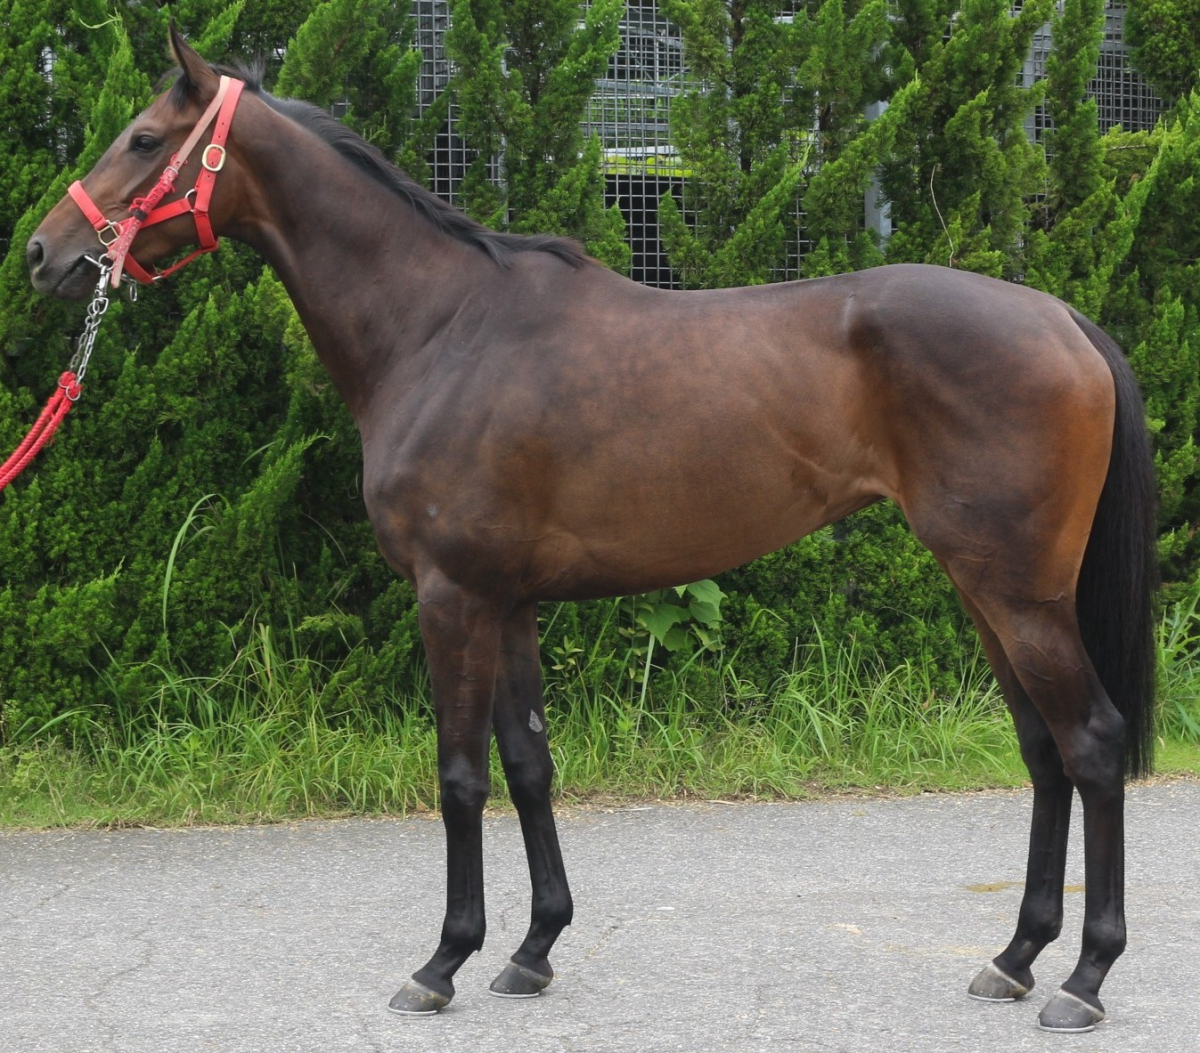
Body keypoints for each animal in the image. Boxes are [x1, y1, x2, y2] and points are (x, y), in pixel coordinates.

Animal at [26, 28, 1158, 1034]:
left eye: (140, 138)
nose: (44, 253)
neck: (441, 329)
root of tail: (1063, 319)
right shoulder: (511, 601)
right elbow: (529, 764)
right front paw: (532, 950)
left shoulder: (451, 595)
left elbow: (460, 775)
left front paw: (441, 962)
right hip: (989, 592)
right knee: (1043, 751)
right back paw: (1015, 956)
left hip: (1017, 595)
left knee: (1092, 744)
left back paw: (1084, 978)